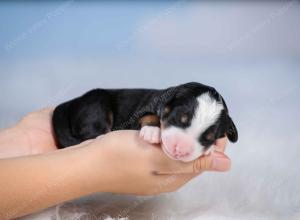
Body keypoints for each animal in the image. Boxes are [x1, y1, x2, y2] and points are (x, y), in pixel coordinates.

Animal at [52, 82, 238, 162]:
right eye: (178, 118)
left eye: (209, 138)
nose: (179, 150)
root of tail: (71, 103)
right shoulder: (138, 114)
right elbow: (150, 116)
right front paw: (152, 131)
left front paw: (209, 150)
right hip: (97, 104)